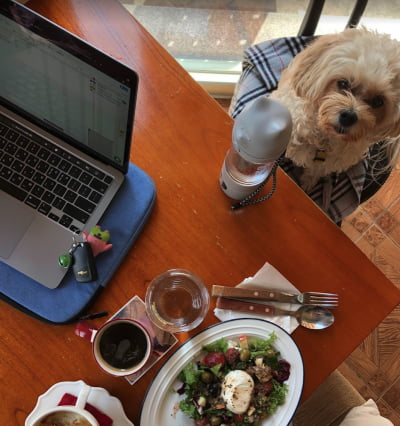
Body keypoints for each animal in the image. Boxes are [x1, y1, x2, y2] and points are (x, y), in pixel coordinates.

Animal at [270, 27, 400, 191]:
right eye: (343, 83)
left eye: (378, 101)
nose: (349, 116)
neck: (324, 140)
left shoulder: (328, 163)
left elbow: (315, 171)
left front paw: (307, 183)